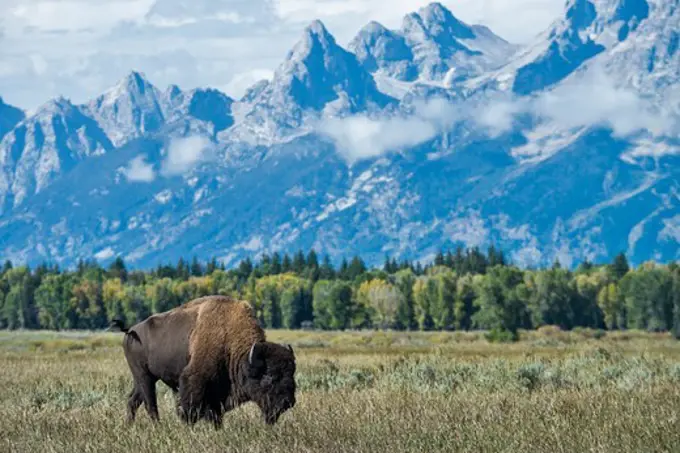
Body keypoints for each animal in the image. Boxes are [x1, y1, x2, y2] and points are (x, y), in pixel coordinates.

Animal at [108, 294, 294, 426]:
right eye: (269, 377)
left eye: (291, 374)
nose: (288, 402)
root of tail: (130, 330)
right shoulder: (194, 380)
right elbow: (189, 409)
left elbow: (215, 413)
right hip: (144, 376)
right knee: (150, 404)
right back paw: (157, 427)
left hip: (144, 378)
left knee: (133, 400)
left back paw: (129, 426)